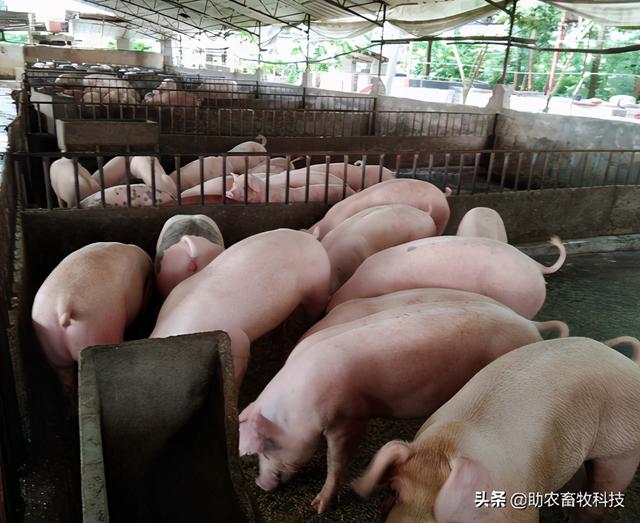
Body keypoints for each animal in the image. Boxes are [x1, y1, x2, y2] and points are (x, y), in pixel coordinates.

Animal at [238, 300, 568, 512]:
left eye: (266, 447)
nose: (259, 484)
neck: (300, 405)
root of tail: (531, 325)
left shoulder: (348, 418)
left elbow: (337, 461)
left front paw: (317, 507)